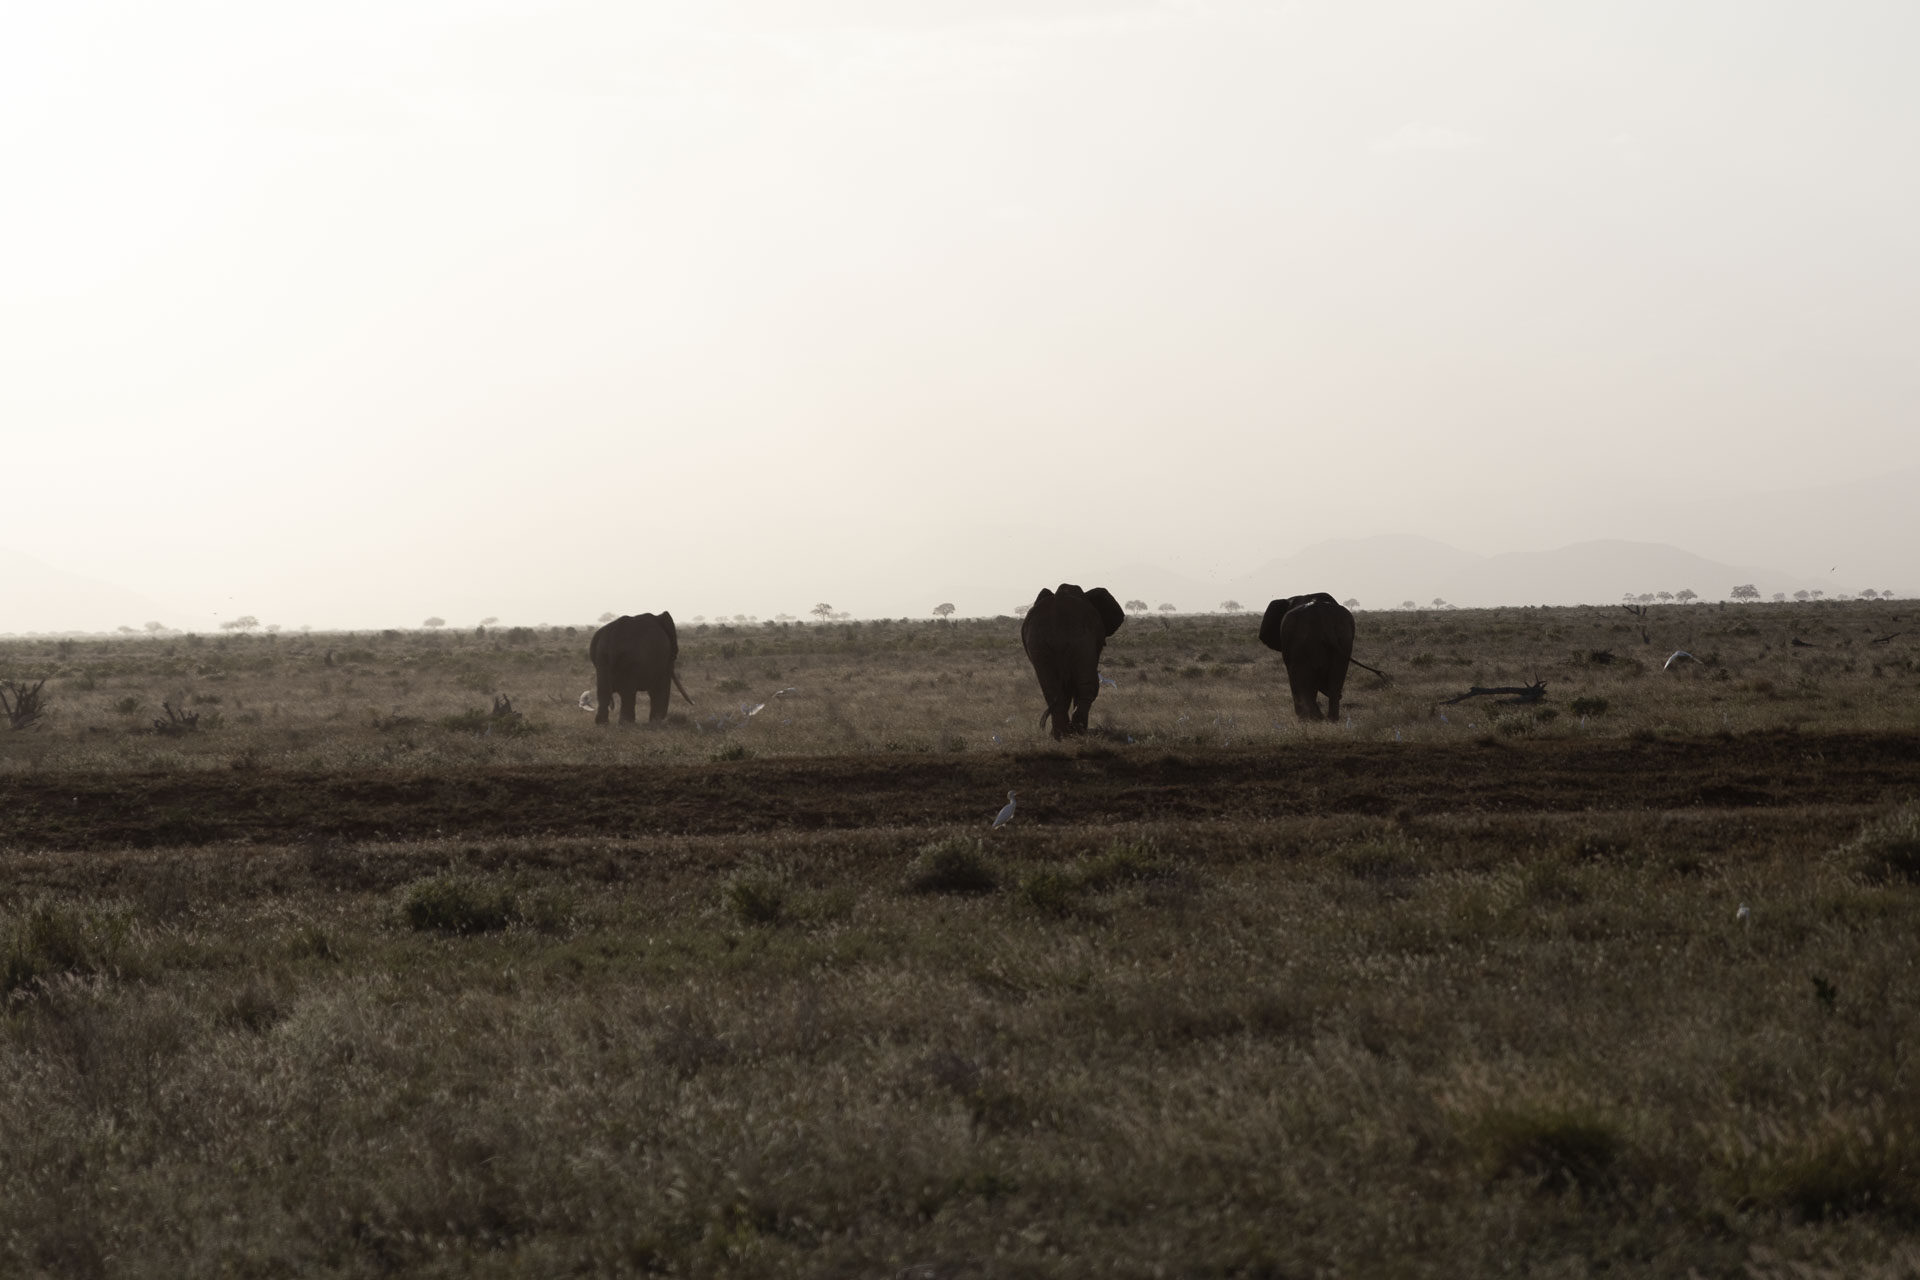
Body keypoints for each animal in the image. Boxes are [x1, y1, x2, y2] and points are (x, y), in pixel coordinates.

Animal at [1021, 584, 1125, 739]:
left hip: (1043, 644)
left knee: (1053, 689)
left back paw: (1062, 734)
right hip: (1078, 641)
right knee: (1086, 686)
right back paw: (1076, 732)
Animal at [1258, 593, 1355, 721]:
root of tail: (1323, 616)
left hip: (1305, 642)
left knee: (1301, 677)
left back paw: (1311, 718)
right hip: (1344, 639)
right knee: (1337, 677)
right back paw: (1330, 719)